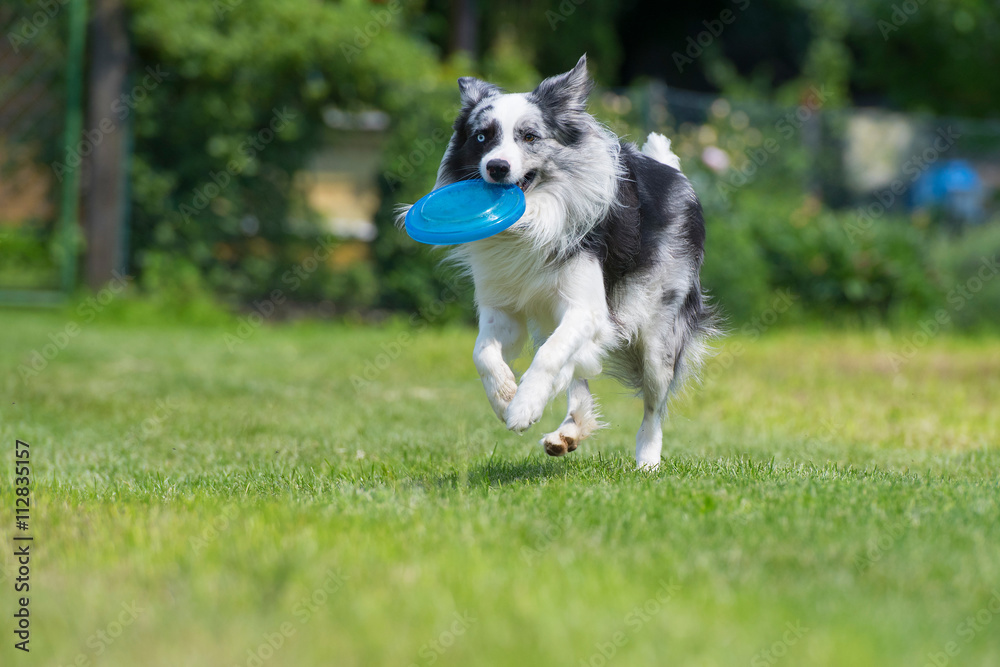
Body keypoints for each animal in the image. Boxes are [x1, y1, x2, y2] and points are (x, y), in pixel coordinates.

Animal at [410, 54, 716, 468]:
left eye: (529, 137)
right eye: (482, 137)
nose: (496, 167)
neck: (530, 222)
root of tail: (674, 171)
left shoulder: (587, 308)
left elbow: (551, 356)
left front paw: (523, 407)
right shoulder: (502, 308)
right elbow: (482, 352)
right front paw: (504, 398)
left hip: (656, 332)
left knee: (652, 402)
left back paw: (647, 461)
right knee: (578, 371)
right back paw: (569, 432)